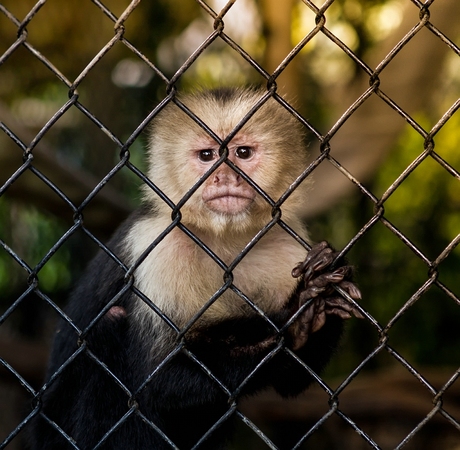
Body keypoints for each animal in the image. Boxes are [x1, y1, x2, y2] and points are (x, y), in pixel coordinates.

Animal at [29, 86, 362, 448]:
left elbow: (292, 381)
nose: (225, 176)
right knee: (110, 328)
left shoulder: (287, 247)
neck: (223, 241)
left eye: (242, 153)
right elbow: (160, 379)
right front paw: (294, 323)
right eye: (206, 156)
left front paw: (317, 303)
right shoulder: (158, 248)